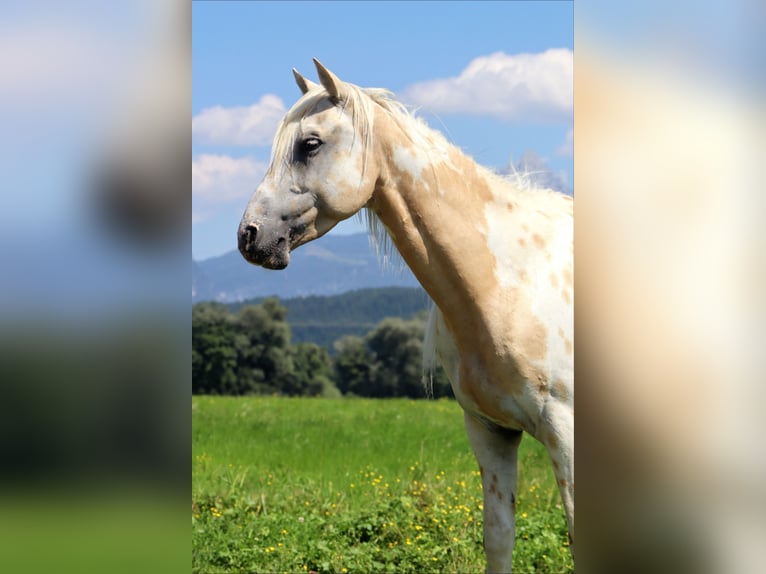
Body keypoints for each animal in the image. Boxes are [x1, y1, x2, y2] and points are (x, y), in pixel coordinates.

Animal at [238, 59, 573, 573]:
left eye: (309, 144)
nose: (250, 236)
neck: (512, 278)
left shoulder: (567, 434)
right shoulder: (490, 432)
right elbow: (498, 537)